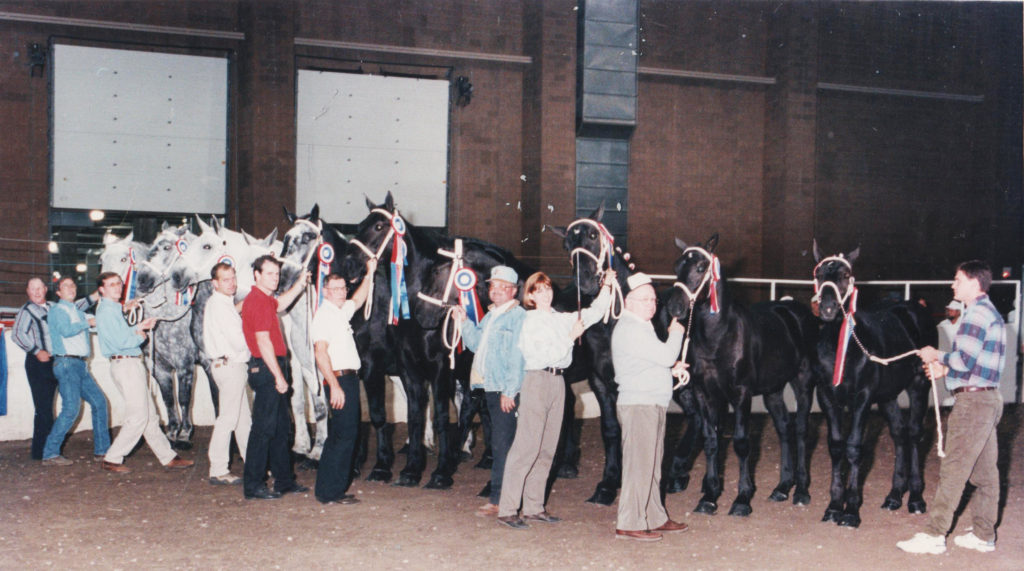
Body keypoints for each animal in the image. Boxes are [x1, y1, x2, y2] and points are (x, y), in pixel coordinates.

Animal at [663, 235, 815, 517]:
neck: (720, 336)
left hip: (804, 383)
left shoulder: (740, 395)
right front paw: (709, 497)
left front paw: (742, 499)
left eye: (701, 267)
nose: (675, 307)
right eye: (677, 265)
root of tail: (793, 309)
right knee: (784, 428)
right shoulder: (705, 394)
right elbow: (711, 441)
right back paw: (782, 488)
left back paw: (801, 491)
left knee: (801, 430)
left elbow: (742, 444)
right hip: (773, 391)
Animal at [811, 241, 937, 528]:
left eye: (846, 275)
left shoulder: (863, 398)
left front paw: (851, 511)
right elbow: (836, 447)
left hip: (919, 385)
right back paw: (894, 496)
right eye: (819, 274)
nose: (828, 309)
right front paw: (833, 507)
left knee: (914, 434)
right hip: (888, 396)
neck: (843, 348)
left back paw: (915, 499)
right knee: (899, 434)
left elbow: (854, 448)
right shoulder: (827, 398)